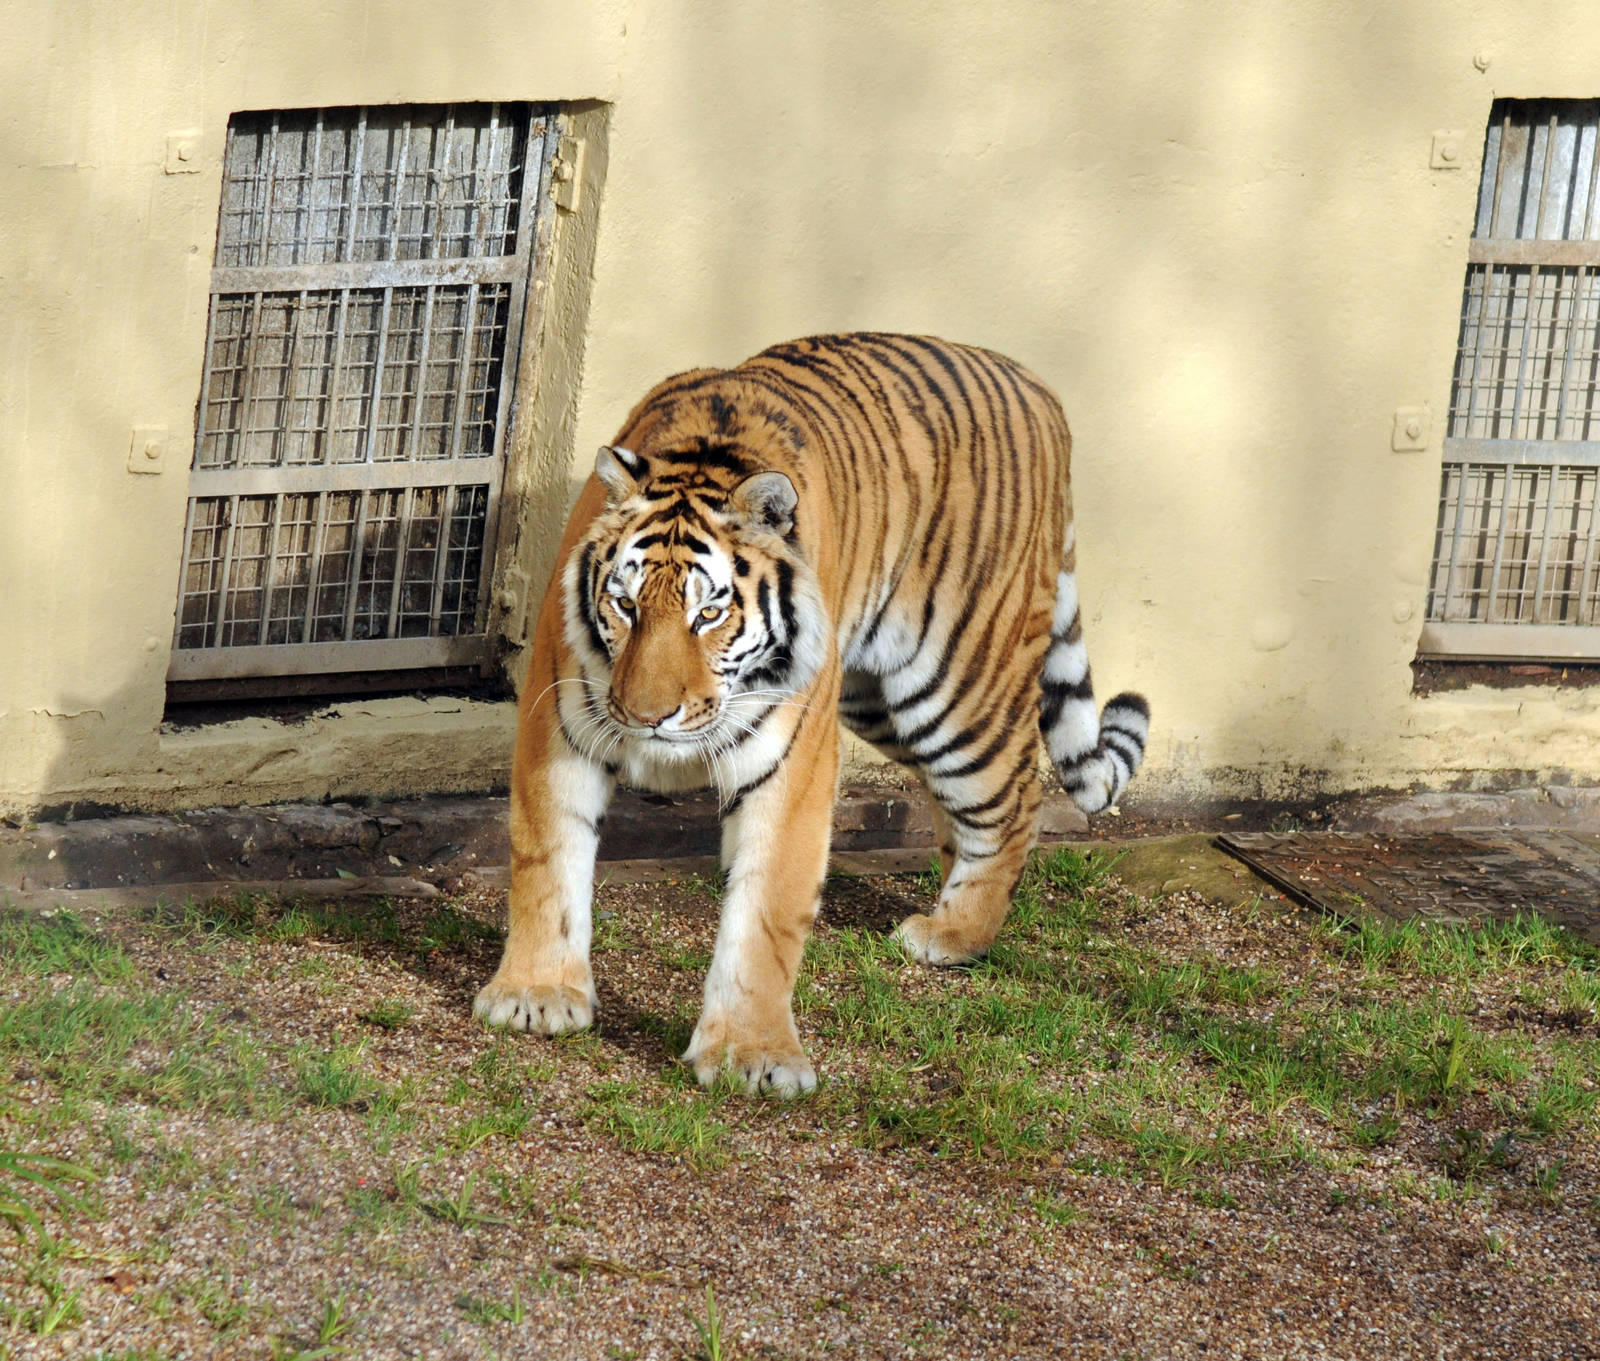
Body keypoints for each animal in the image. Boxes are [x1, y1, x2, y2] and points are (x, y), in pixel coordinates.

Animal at [474, 332, 1149, 1096]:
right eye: (625, 604)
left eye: (708, 614)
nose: (648, 717)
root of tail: (1040, 390)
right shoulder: (559, 723)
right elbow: (548, 858)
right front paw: (537, 995)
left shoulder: (791, 762)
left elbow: (767, 907)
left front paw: (751, 1053)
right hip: (878, 701)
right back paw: (947, 907)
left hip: (958, 687)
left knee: (1016, 793)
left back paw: (955, 934)